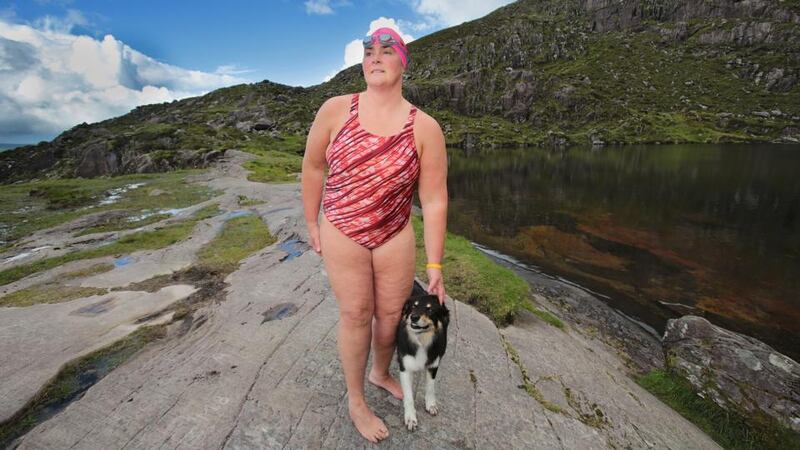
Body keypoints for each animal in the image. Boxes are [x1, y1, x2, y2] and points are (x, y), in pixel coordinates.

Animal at [396, 294, 446, 430]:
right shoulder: (405, 367)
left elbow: (430, 387)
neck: (421, 339)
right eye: (414, 306)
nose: (413, 317)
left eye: (430, 309)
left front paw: (431, 404)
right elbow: (408, 396)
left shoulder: (433, 365)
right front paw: (410, 418)